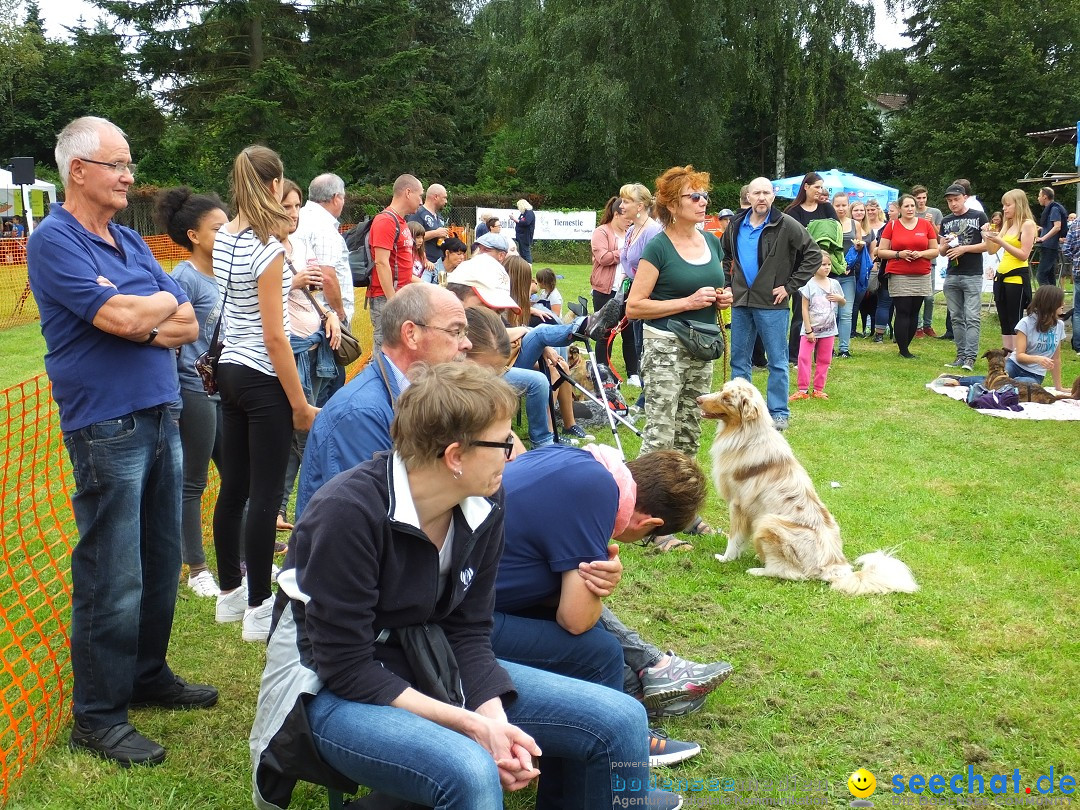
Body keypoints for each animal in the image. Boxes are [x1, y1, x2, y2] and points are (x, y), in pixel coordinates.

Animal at [695, 380, 915, 596]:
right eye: (721, 390)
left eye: (726, 398)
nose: (698, 399)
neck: (745, 433)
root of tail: (834, 566)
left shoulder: (737, 505)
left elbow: (734, 538)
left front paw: (726, 558)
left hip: (767, 522)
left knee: (790, 573)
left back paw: (757, 569)